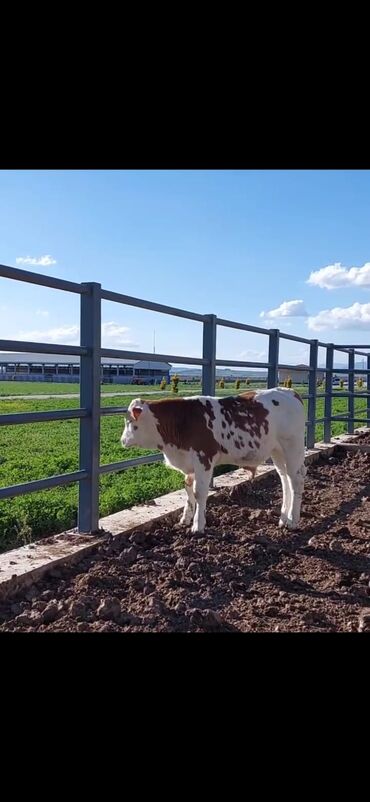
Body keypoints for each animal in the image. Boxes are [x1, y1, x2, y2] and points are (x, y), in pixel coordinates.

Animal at [120, 386, 306, 532]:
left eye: (130, 423)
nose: (122, 441)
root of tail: (290, 391)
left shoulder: (204, 458)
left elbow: (199, 492)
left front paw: (198, 525)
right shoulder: (189, 462)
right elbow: (188, 488)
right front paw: (185, 519)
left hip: (292, 447)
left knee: (296, 480)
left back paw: (292, 520)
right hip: (277, 451)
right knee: (285, 479)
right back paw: (283, 518)